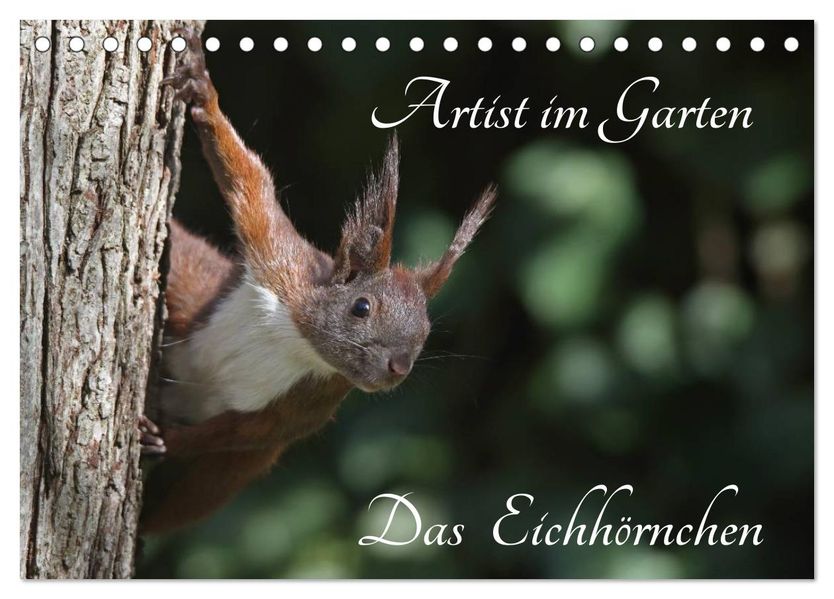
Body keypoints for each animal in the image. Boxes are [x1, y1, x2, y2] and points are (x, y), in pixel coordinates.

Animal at [138, 30, 496, 534]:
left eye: (426, 334)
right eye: (361, 307)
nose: (399, 367)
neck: (298, 340)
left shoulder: (306, 407)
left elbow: (239, 431)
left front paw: (165, 442)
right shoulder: (279, 260)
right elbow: (247, 180)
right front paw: (200, 88)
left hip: (224, 478)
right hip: (195, 289)